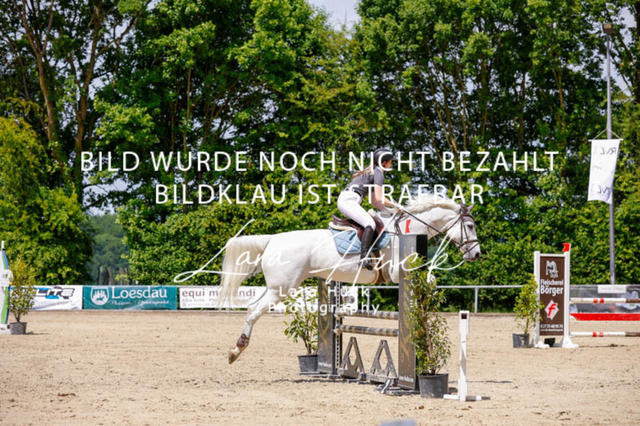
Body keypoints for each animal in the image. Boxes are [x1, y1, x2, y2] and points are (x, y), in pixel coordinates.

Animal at [221, 194, 481, 363]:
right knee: (253, 311)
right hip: (281, 288)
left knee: (253, 307)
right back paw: (236, 350)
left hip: (276, 287)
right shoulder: (398, 271)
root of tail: (273, 239)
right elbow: (429, 279)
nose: (476, 254)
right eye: (469, 226)